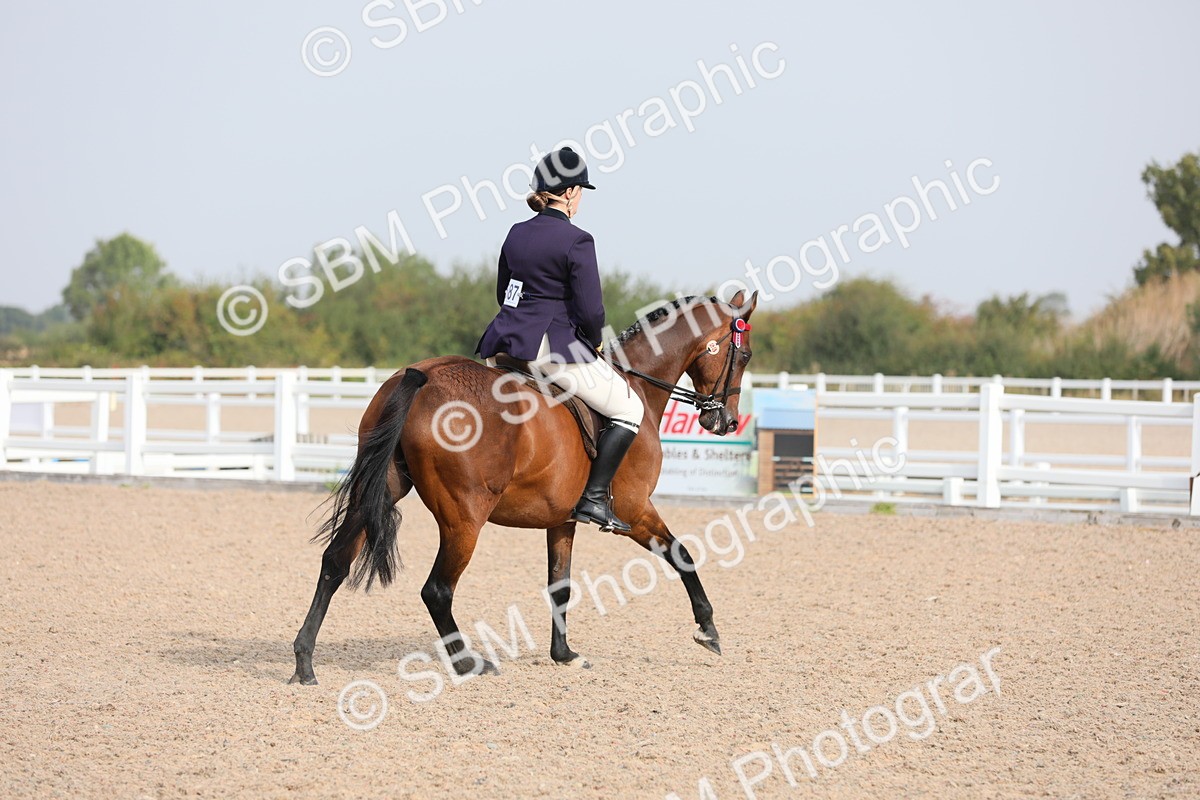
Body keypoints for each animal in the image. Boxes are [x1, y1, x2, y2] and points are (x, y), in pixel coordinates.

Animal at [289, 289, 758, 685]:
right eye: (746, 355)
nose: (726, 421)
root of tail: (421, 376)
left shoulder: (563, 520)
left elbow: (560, 585)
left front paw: (564, 654)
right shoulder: (637, 510)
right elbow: (683, 555)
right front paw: (708, 630)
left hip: (381, 491)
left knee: (335, 563)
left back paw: (304, 663)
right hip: (464, 519)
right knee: (437, 590)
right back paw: (468, 663)